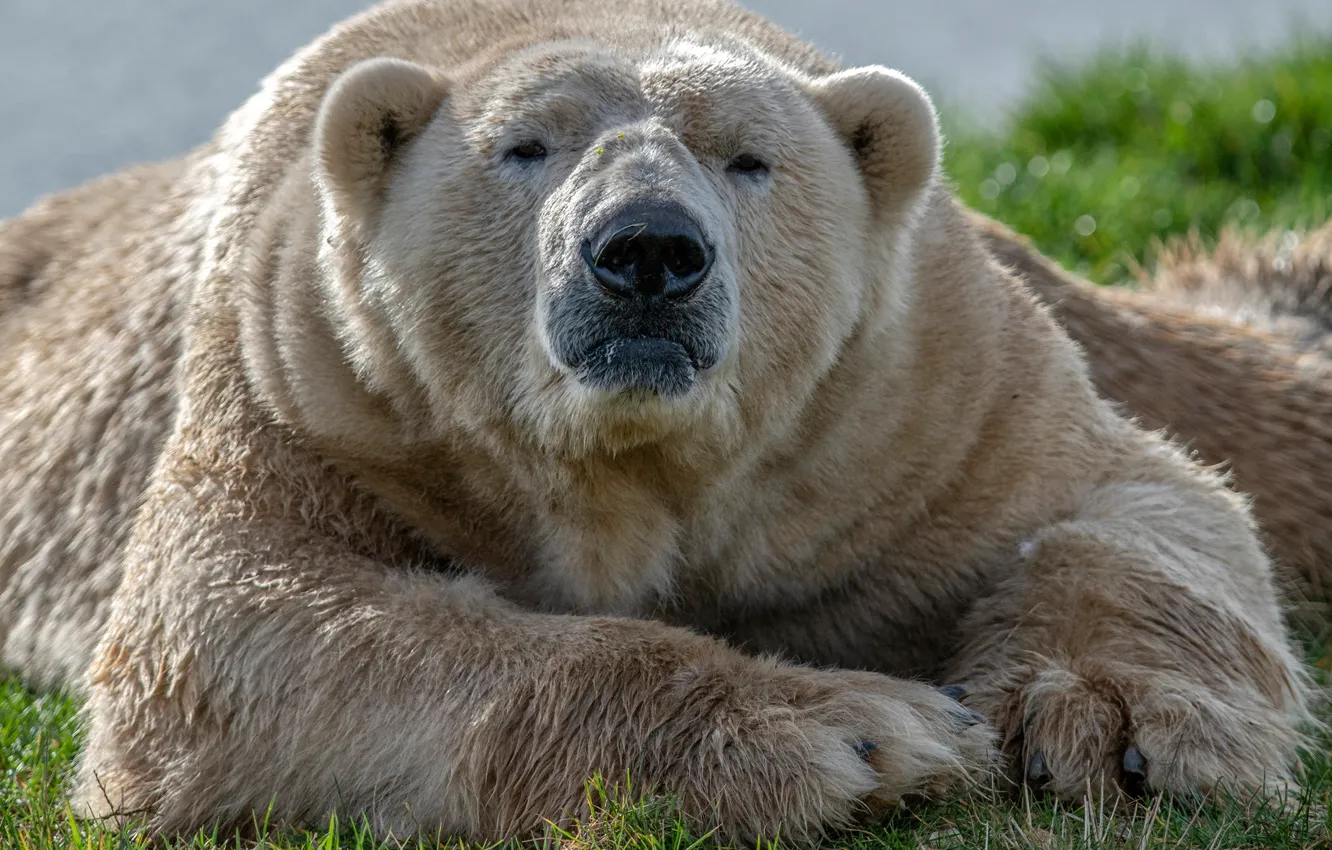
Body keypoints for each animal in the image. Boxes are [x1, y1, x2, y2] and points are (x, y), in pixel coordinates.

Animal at [0, 0, 1310, 842]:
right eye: (524, 147)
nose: (646, 252)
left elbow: (1136, 499)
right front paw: (863, 732)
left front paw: (1117, 726)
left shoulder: (927, 395)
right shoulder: (315, 384)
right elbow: (241, 626)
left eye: (749, 159)